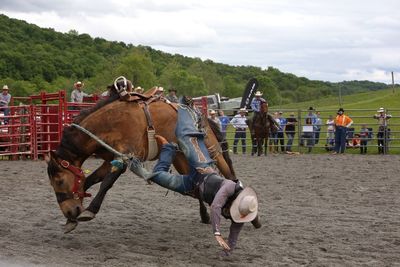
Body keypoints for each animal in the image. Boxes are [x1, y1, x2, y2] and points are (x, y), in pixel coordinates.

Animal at [46, 82, 238, 230]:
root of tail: (201, 113)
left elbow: (106, 183)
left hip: (212, 149)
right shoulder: (110, 160)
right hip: (180, 157)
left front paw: (89, 211)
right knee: (196, 184)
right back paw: (205, 215)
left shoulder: (126, 157)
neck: (109, 123)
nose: (69, 211)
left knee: (228, 173)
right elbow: (89, 180)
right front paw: (71, 219)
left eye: (59, 181)